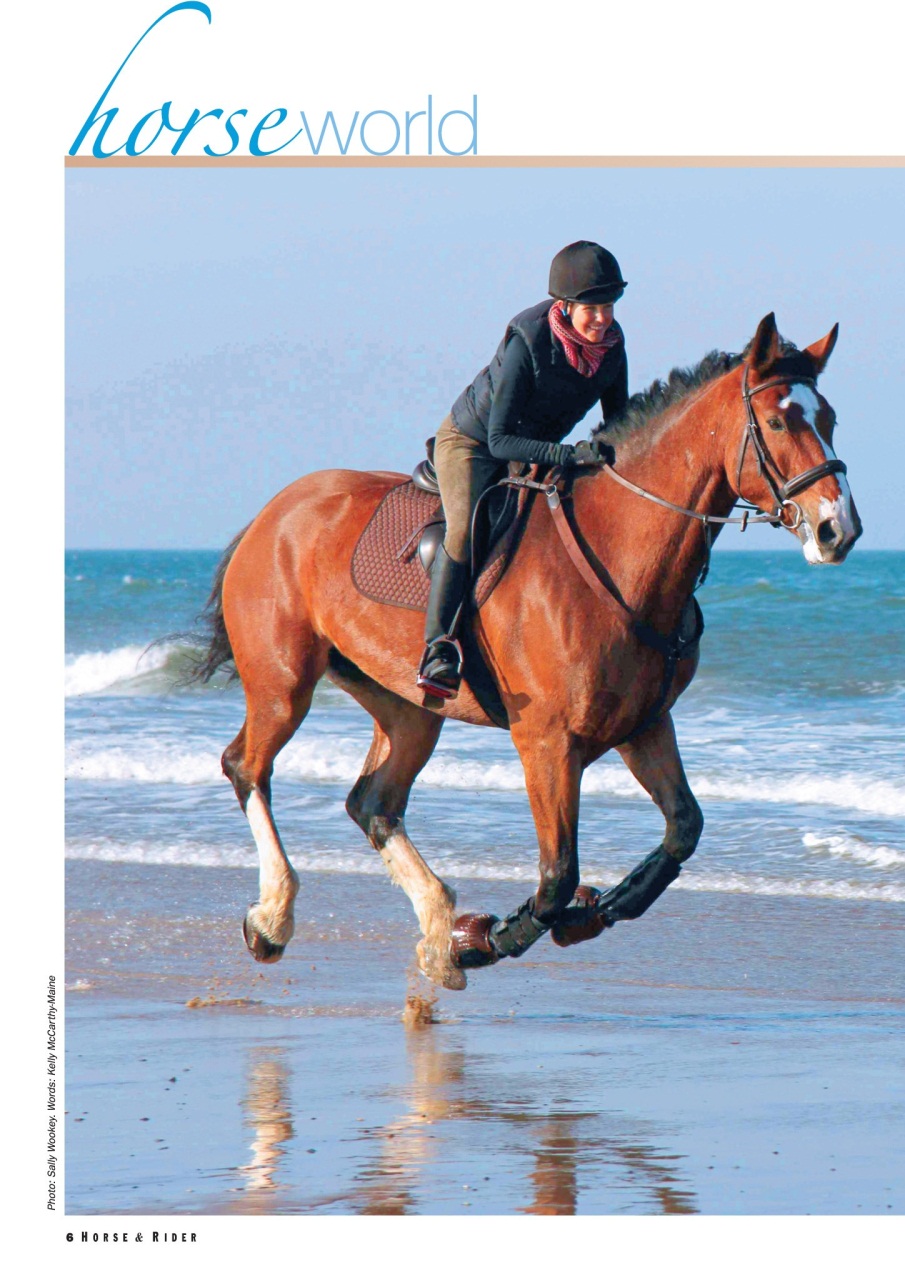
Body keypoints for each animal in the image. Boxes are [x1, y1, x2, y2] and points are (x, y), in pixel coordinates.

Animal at [189, 313, 860, 991]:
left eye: (829, 418)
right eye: (777, 423)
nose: (839, 530)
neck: (620, 554)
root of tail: (273, 513)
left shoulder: (644, 726)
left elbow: (682, 832)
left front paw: (580, 917)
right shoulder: (547, 741)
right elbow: (558, 873)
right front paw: (485, 939)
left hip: (408, 706)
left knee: (373, 801)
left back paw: (436, 928)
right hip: (284, 682)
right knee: (247, 766)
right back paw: (276, 919)